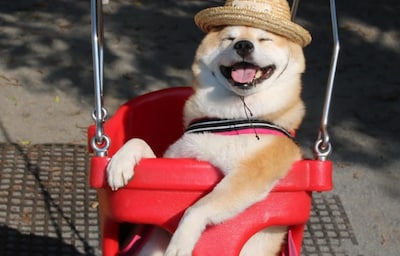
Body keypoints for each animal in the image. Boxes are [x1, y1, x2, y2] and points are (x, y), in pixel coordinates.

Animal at [104, 0, 310, 256]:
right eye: (230, 38)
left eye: (265, 39)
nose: (243, 45)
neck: (229, 118)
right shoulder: (174, 159)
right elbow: (139, 142)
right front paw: (120, 163)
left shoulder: (252, 172)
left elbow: (197, 209)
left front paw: (180, 243)